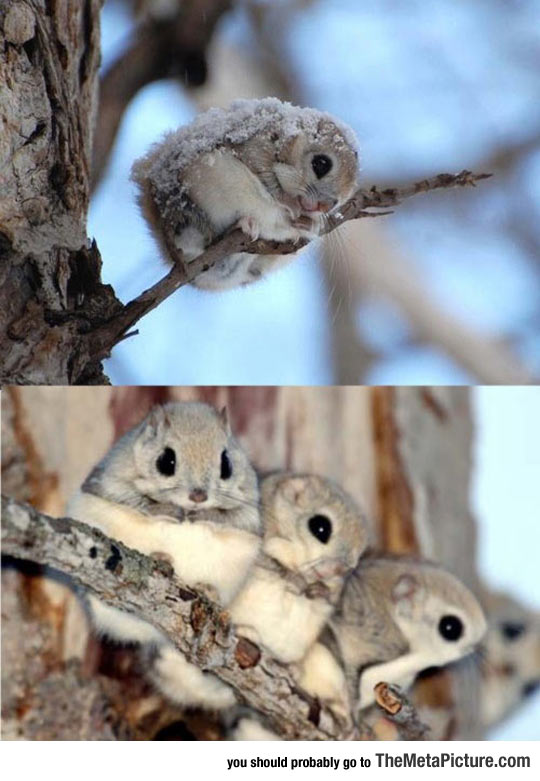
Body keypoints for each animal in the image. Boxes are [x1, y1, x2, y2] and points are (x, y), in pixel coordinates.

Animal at [131, 97, 359, 290]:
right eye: (321, 164)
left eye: (339, 201)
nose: (324, 206)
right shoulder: (255, 146)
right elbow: (267, 179)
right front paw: (290, 204)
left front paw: (311, 223)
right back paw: (243, 224)